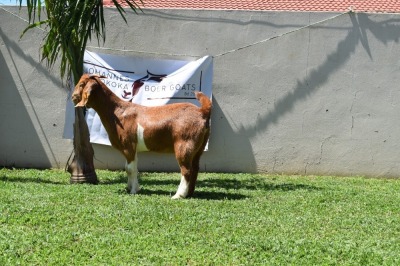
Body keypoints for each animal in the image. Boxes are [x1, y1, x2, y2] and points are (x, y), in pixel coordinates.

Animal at [71, 74, 212, 198]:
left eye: (82, 84)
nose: (73, 96)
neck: (117, 112)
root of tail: (202, 112)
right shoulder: (132, 149)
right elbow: (130, 167)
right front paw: (131, 187)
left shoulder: (128, 146)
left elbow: (130, 168)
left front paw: (133, 191)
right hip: (198, 148)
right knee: (195, 168)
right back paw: (189, 193)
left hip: (184, 144)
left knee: (186, 170)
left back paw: (179, 195)